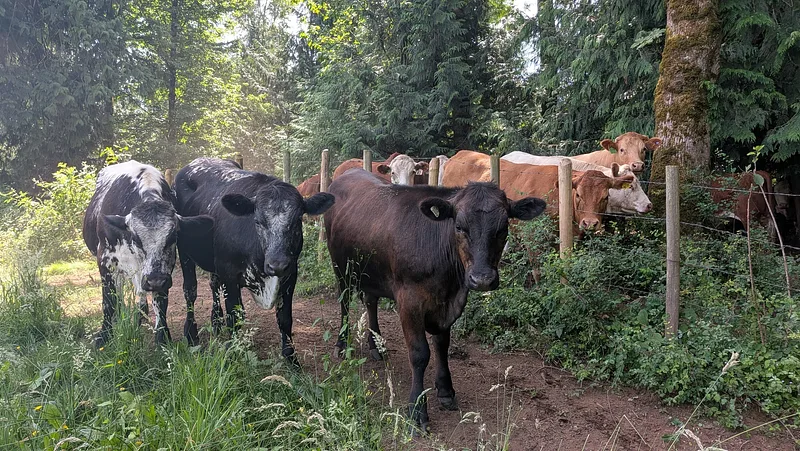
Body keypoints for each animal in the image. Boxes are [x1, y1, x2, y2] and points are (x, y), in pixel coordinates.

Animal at [82, 161, 214, 347]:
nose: (155, 280)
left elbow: (161, 301)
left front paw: (162, 335)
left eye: (172, 237)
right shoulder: (105, 259)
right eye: (136, 238)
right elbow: (108, 301)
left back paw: (141, 314)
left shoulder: (165, 268)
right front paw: (104, 335)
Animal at [174, 158, 335, 361]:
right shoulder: (228, 273)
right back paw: (191, 334)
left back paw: (216, 321)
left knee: (213, 285)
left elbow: (284, 319)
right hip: (183, 250)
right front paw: (233, 352)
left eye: (297, 220)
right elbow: (234, 315)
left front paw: (291, 358)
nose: (277, 264)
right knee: (190, 291)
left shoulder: (290, 274)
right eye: (257, 221)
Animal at [324, 168, 545, 434]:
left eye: (503, 228)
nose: (482, 279)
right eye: (459, 226)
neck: (450, 283)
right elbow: (420, 354)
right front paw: (417, 410)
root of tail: (348, 172)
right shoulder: (409, 302)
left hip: (372, 272)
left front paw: (446, 390)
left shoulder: (447, 306)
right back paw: (341, 345)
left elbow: (441, 345)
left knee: (370, 301)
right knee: (345, 302)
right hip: (341, 267)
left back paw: (376, 346)